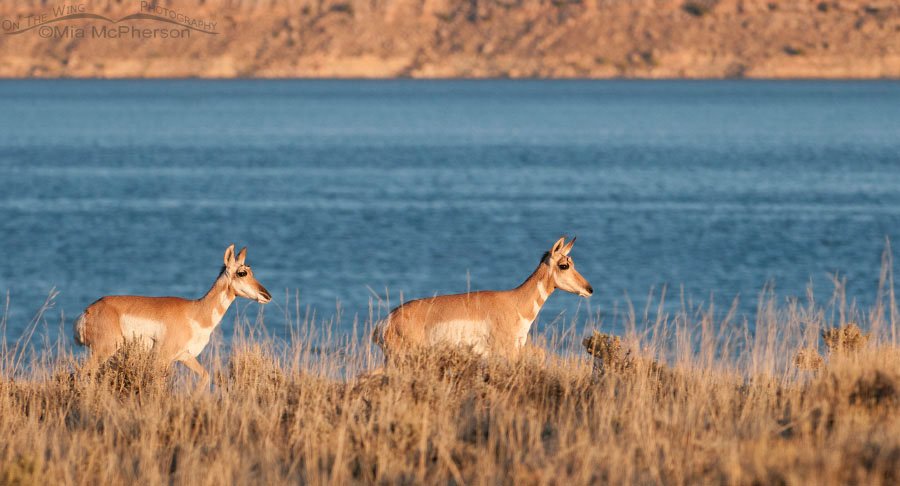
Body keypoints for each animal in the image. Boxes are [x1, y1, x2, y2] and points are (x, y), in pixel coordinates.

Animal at [73, 244, 272, 379]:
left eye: (251, 271)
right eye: (242, 273)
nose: (267, 295)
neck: (196, 313)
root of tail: (88, 311)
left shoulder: (184, 356)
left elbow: (205, 377)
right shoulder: (162, 359)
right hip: (103, 351)